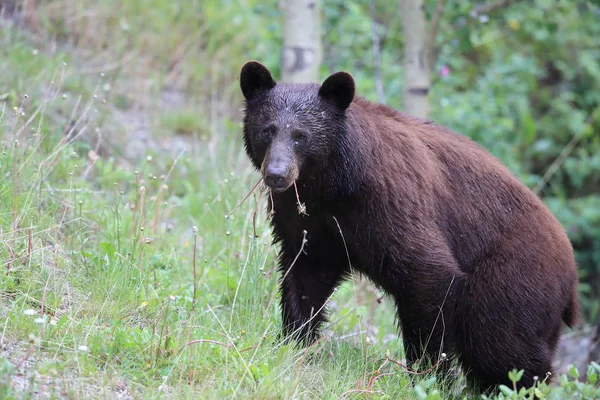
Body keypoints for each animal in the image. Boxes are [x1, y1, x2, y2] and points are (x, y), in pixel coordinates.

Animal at [239, 61, 580, 392]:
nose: (277, 174)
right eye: (268, 130)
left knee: (503, 347)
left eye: (301, 135)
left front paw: (430, 375)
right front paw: (296, 343)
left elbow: (427, 275)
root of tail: (571, 270)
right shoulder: (309, 219)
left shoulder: (390, 204)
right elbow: (305, 275)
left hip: (511, 281)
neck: (334, 183)